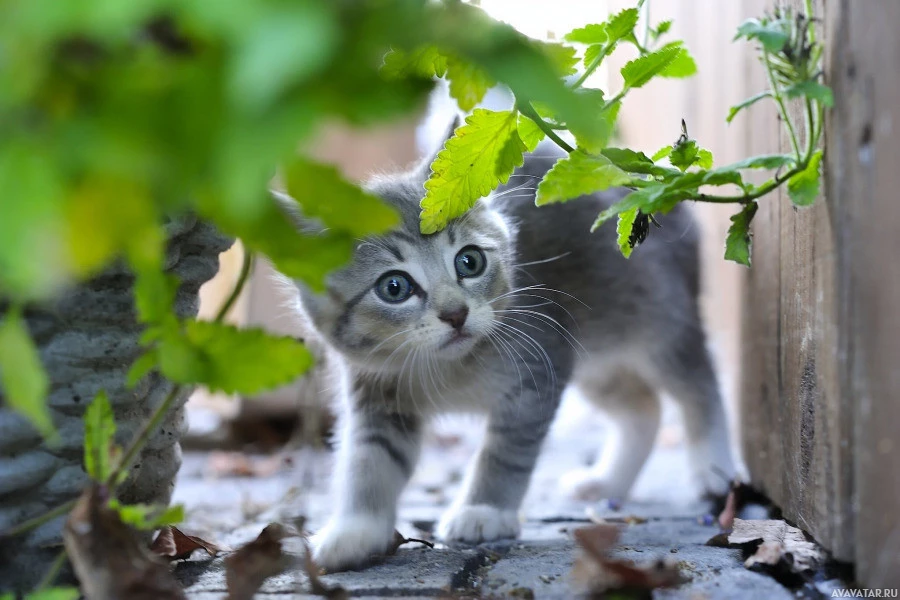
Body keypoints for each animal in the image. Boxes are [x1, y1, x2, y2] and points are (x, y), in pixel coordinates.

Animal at [278, 134, 736, 568]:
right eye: (394, 287)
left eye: (469, 262)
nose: (456, 313)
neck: (449, 367)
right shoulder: (377, 398)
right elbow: (369, 462)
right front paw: (355, 530)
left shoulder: (537, 371)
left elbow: (505, 452)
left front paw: (484, 510)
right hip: (595, 357)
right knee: (643, 407)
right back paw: (607, 481)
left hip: (660, 322)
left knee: (699, 387)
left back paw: (715, 469)